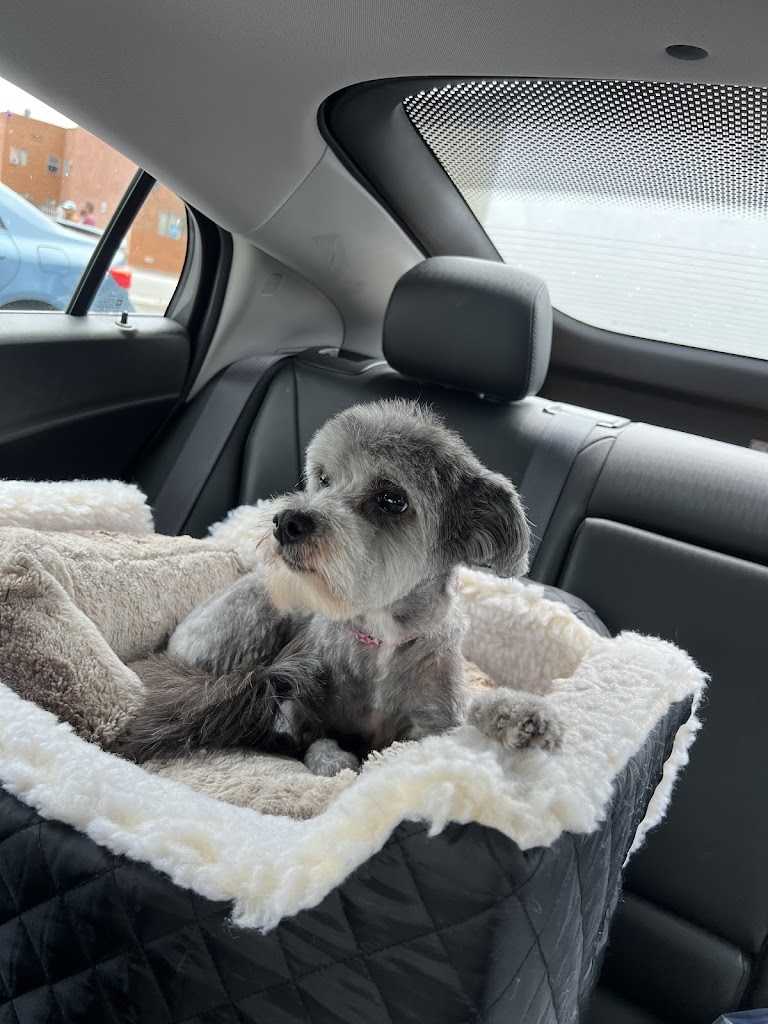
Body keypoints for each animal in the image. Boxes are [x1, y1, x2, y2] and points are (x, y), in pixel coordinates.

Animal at [118, 399, 561, 775]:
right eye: (324, 478)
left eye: (391, 499)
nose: (286, 522)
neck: (381, 637)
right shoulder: (308, 703)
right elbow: (319, 744)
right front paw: (332, 758)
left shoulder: (434, 723)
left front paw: (521, 717)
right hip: (246, 619)